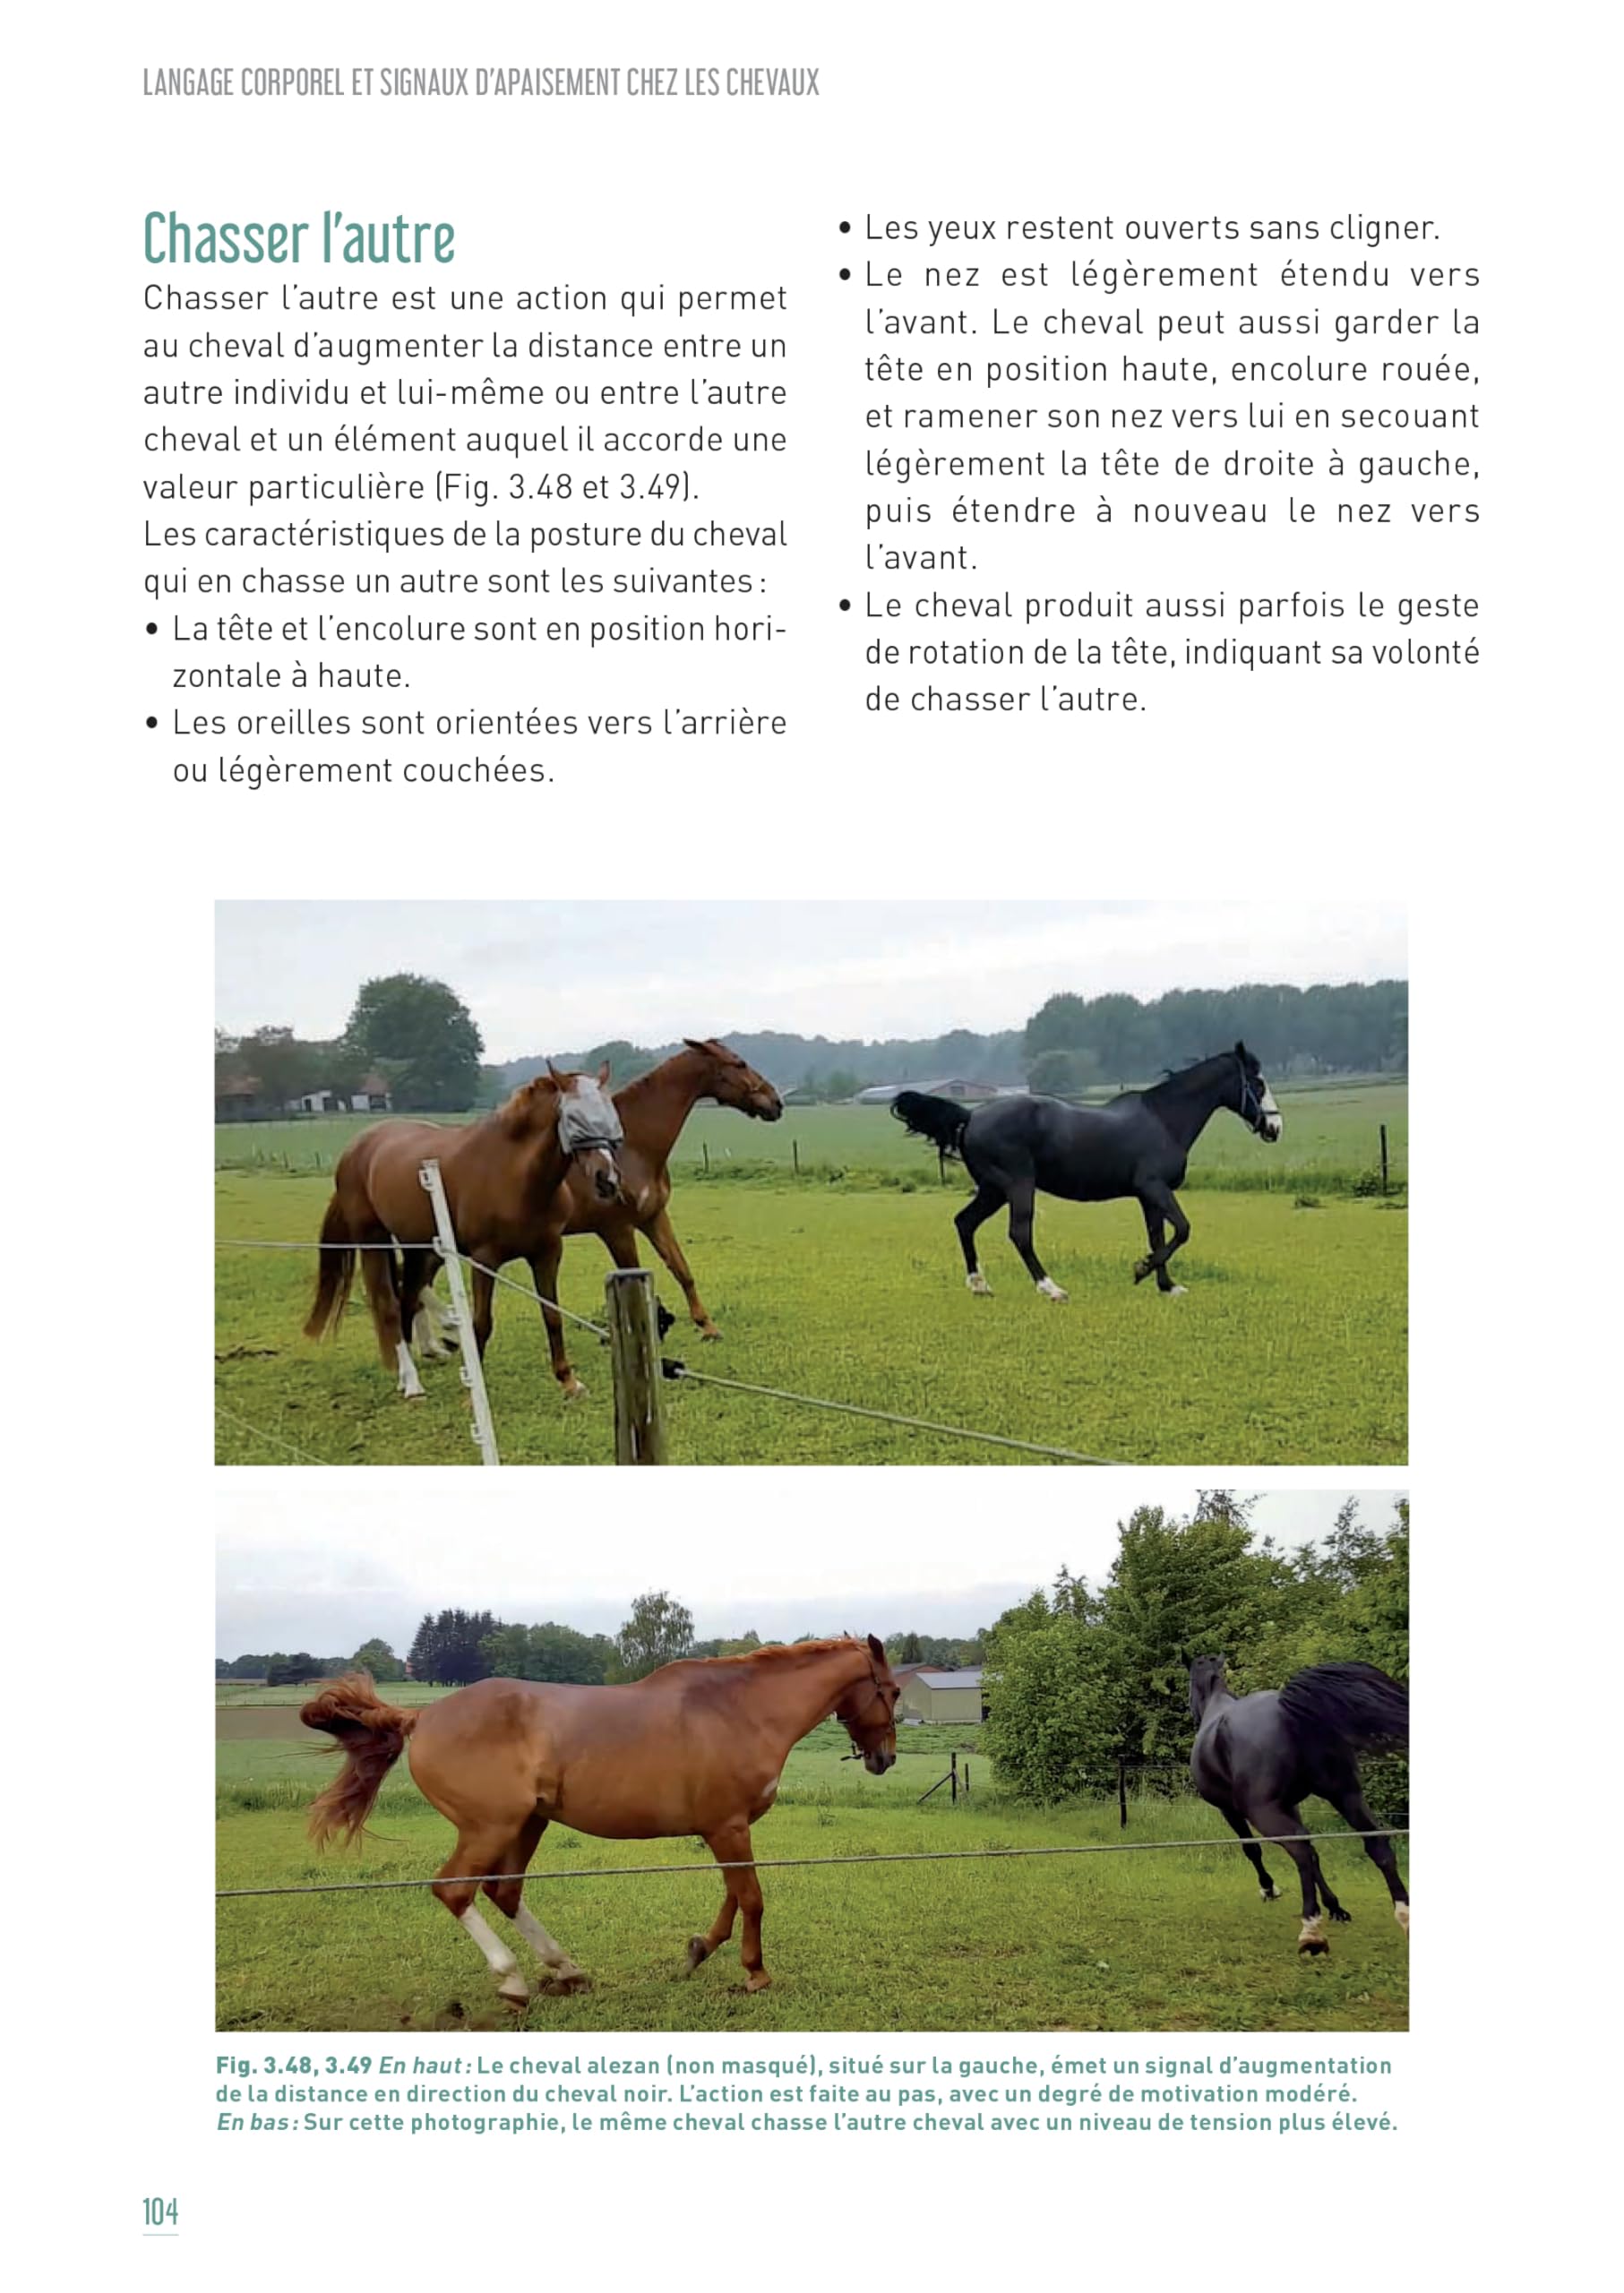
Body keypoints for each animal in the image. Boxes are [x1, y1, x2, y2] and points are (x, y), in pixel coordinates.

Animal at [299, 1636, 899, 2008]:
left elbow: (733, 1897)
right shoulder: (729, 1827)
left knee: (504, 1891)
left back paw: (565, 1970)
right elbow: (751, 1898)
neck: (740, 1709)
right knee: (455, 1890)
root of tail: (421, 1716)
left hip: (526, 1826)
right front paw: (755, 1973)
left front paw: (699, 1951)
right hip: (489, 1828)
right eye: (891, 1691)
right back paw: (513, 1982)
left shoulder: (724, 1829)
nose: (885, 1758)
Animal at [302, 1064, 624, 1398]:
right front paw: (473, 1395)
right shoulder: (485, 1259)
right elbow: (481, 1322)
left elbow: (552, 1315)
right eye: (574, 1118)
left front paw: (568, 1381)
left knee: (408, 1297)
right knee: (387, 1303)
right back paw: (413, 1382)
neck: (514, 1175)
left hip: (418, 1246)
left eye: (610, 1114)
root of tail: (355, 1149)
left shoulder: (547, 1253)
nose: (607, 1179)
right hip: (373, 1240)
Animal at [890, 1042, 1282, 1302]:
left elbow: (1158, 1237)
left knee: (965, 1223)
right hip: (1017, 1186)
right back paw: (1051, 1288)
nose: (1275, 1128)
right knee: (1019, 1233)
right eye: (1258, 1084)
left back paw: (980, 1285)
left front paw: (1167, 1286)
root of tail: (971, 1116)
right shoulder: (1154, 1187)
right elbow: (1182, 1230)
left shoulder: (1148, 1197)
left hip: (993, 1189)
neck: (1163, 1119)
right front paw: (1141, 1270)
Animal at [1187, 1655, 1409, 1955]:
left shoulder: (1230, 1811)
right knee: (1376, 1844)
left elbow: (1253, 1850)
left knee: (1300, 1850)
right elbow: (1315, 1853)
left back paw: (1311, 1930)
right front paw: (1336, 1907)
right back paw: (1404, 1915)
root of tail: (1286, 1711)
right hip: (1346, 1795)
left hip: (1265, 1812)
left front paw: (1269, 1889)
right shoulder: (1292, 1806)